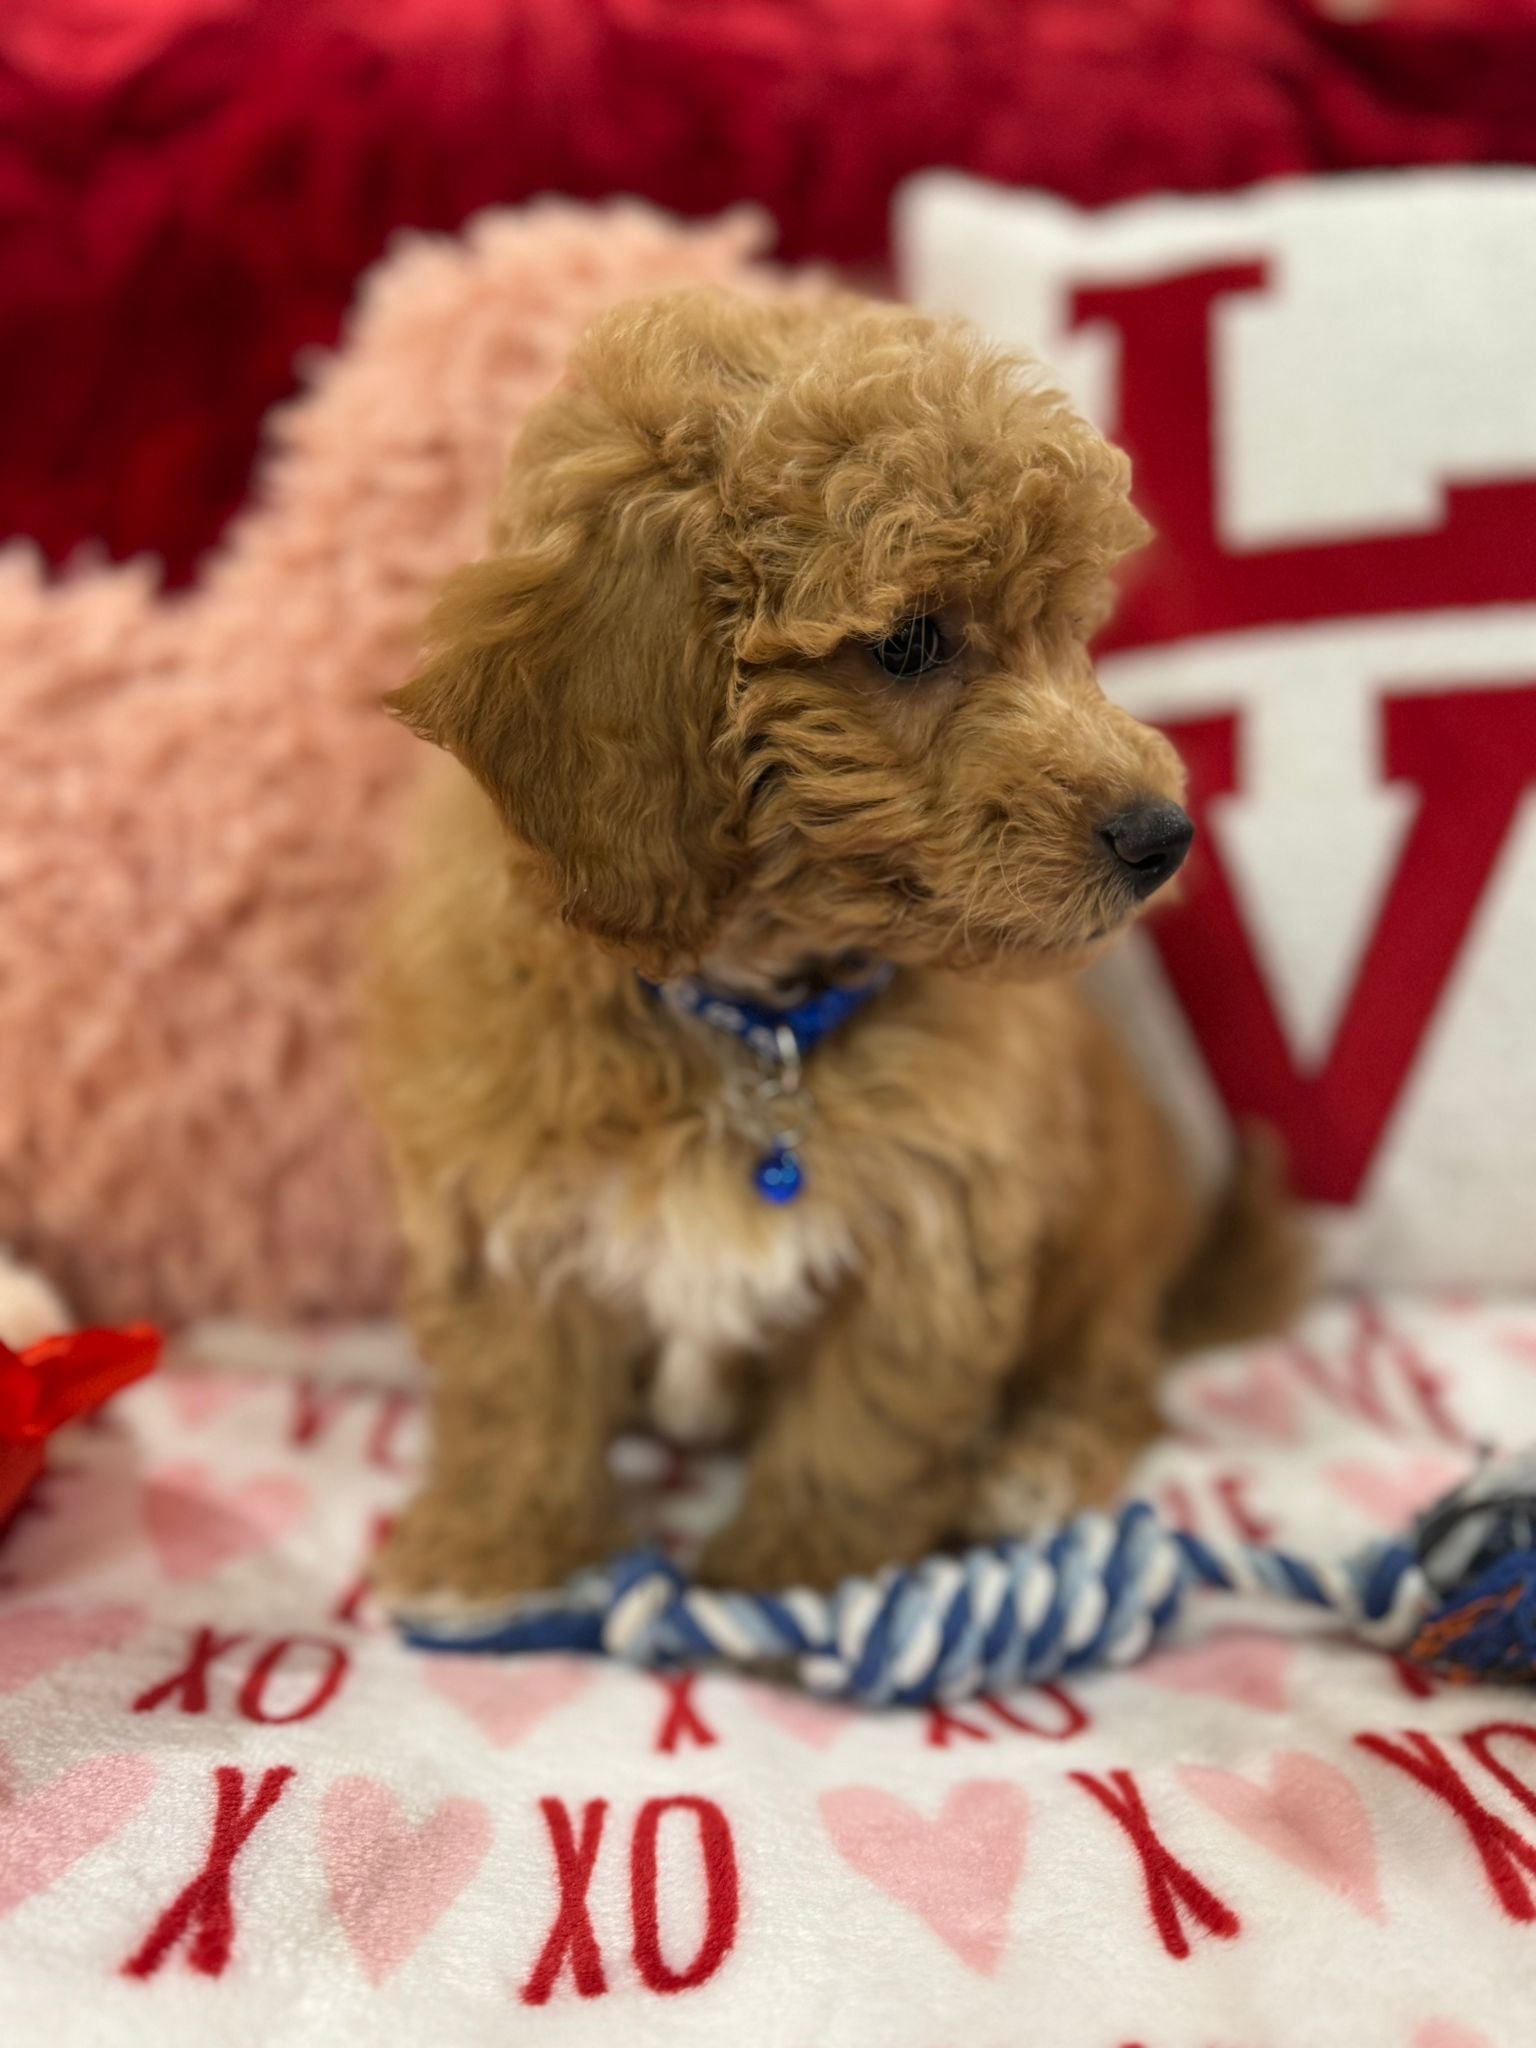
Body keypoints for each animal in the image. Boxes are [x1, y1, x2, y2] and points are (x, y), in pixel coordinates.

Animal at [366, 288, 1302, 1605]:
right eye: (909, 642)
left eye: (1070, 637)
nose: (1163, 835)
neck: (751, 1019)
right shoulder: (504, 1193)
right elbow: (517, 1390)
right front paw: (493, 1551)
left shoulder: (936, 1226)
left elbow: (861, 1427)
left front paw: (798, 1577)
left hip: (1106, 1245)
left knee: (1117, 1371)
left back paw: (1037, 1466)